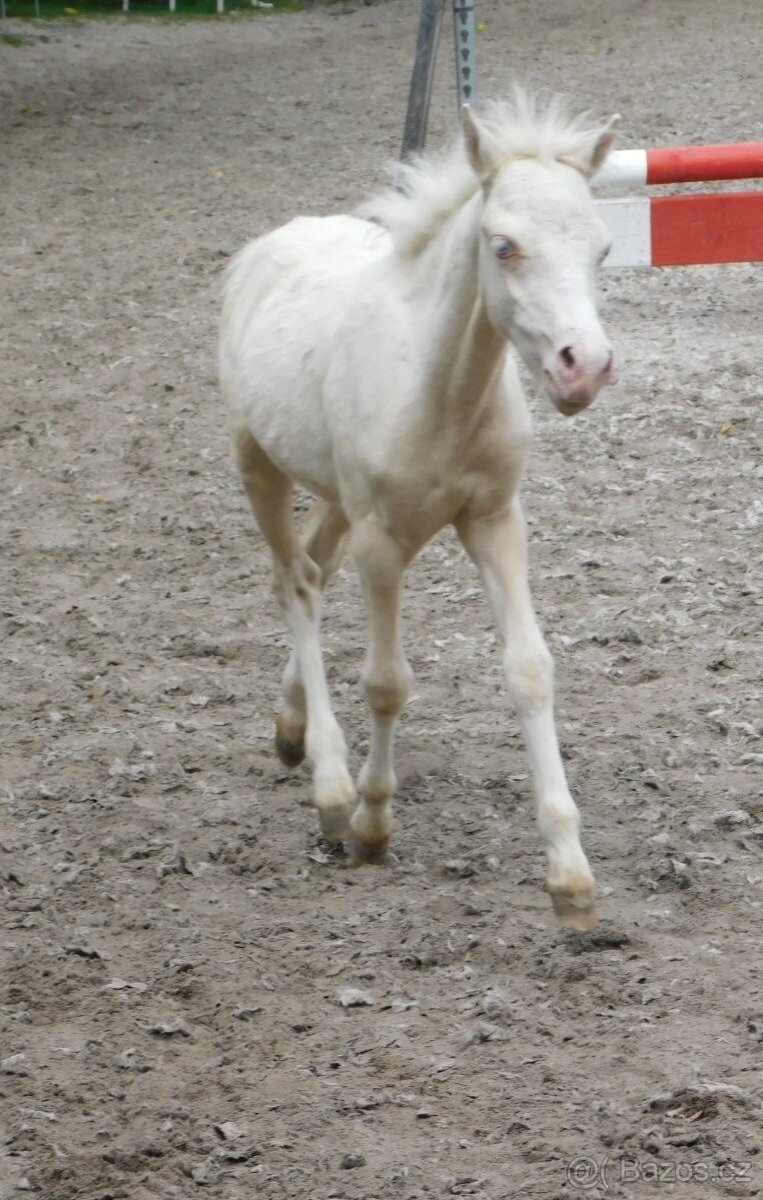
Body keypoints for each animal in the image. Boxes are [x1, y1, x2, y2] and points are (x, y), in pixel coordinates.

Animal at [219, 91, 619, 930]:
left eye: (602, 249)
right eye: (503, 246)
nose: (584, 368)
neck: (443, 393)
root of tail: (275, 240)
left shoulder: (495, 519)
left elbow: (529, 668)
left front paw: (568, 873)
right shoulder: (383, 540)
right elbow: (386, 682)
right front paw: (372, 823)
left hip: (335, 490)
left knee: (313, 565)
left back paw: (291, 730)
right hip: (257, 461)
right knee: (294, 581)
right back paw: (330, 786)